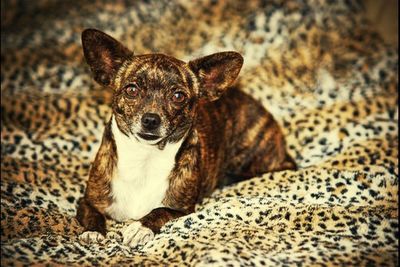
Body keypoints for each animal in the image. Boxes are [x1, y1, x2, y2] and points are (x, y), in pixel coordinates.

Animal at [76, 28, 296, 248]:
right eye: (131, 90)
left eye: (178, 96)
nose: (151, 119)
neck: (145, 158)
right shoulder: (86, 201)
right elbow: (93, 214)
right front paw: (93, 231)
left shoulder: (181, 210)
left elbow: (159, 211)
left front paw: (140, 227)